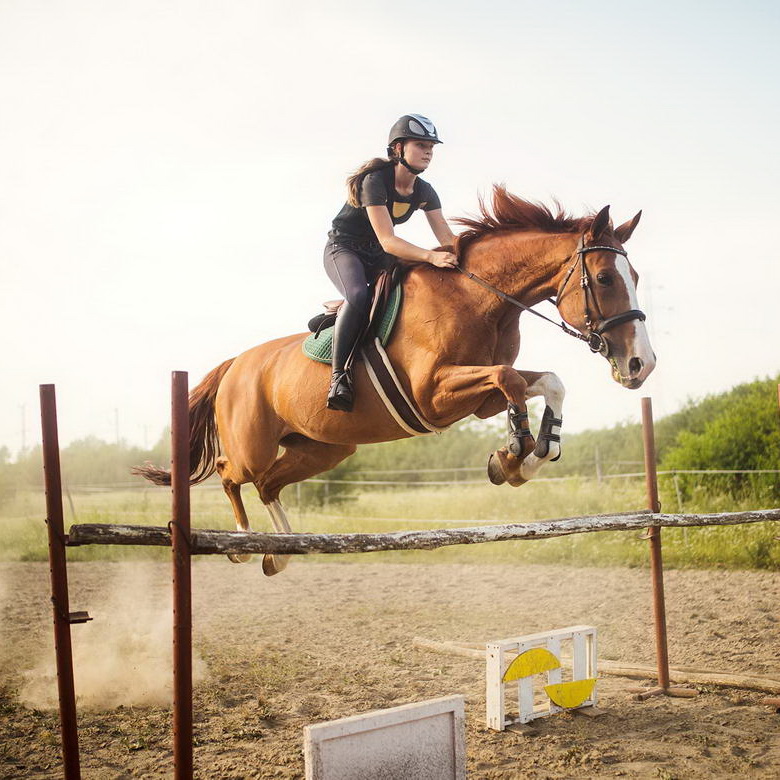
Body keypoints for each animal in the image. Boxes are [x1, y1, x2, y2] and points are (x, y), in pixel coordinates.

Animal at [134, 187, 652, 576]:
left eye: (635, 275)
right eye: (604, 278)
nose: (640, 365)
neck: (481, 300)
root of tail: (235, 364)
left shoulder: (475, 401)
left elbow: (545, 383)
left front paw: (525, 457)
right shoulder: (433, 395)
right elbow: (510, 379)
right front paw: (515, 453)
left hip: (323, 449)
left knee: (268, 485)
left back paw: (280, 551)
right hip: (253, 446)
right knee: (230, 472)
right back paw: (244, 543)